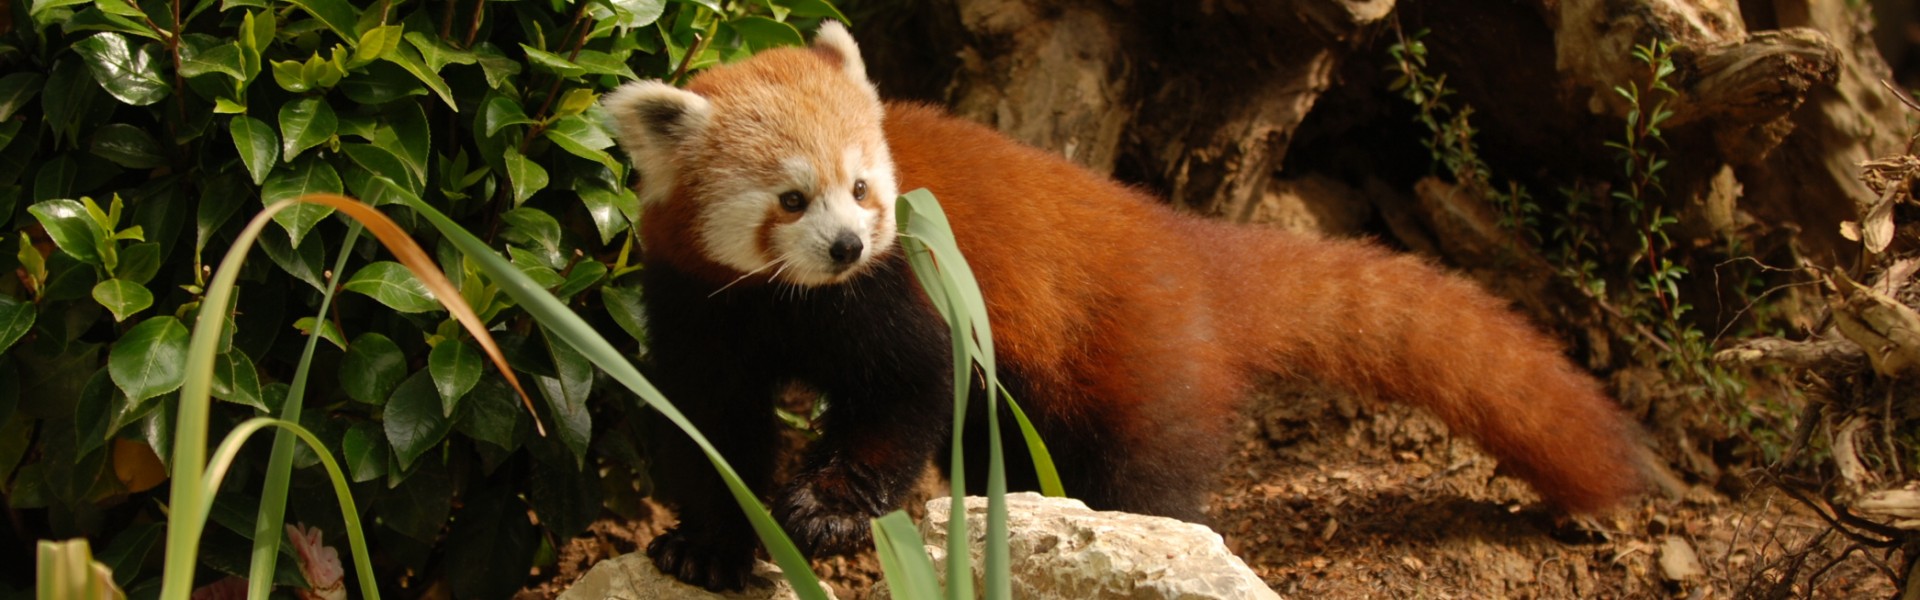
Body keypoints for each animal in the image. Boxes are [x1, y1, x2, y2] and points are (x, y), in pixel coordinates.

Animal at [606, 22, 1643, 592]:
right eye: (791, 199)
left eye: (863, 188)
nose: (848, 246)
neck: (794, 305)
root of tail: (1187, 242)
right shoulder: (699, 306)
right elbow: (705, 424)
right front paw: (710, 545)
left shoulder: (906, 292)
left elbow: (906, 394)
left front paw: (825, 505)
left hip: (1135, 363)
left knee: (1142, 477)